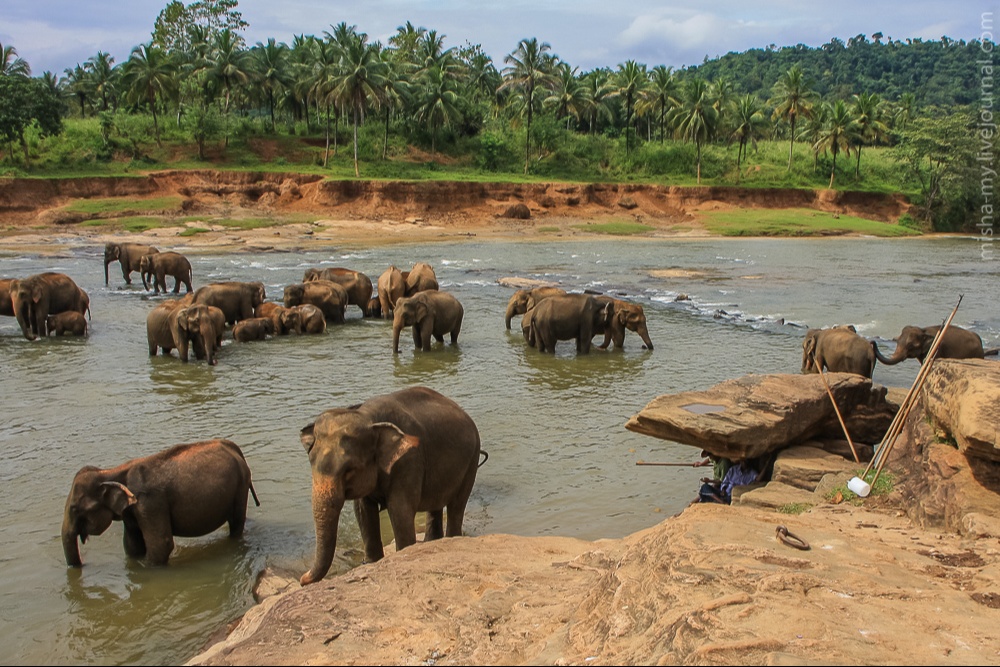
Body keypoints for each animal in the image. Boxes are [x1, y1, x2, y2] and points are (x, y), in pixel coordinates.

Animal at [61, 438, 258, 568]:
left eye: (75, 509)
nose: (82, 565)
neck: (110, 472)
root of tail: (234, 447)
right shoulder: (131, 511)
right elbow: (132, 545)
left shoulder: (150, 502)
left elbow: (161, 545)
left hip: (240, 486)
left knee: (236, 523)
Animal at [296, 386, 480, 584]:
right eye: (310, 461)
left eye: (349, 469)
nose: (302, 578)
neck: (368, 417)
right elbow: (363, 511)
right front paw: (370, 563)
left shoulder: (409, 459)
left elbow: (400, 509)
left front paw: (404, 554)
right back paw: (431, 542)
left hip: (472, 460)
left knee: (457, 505)